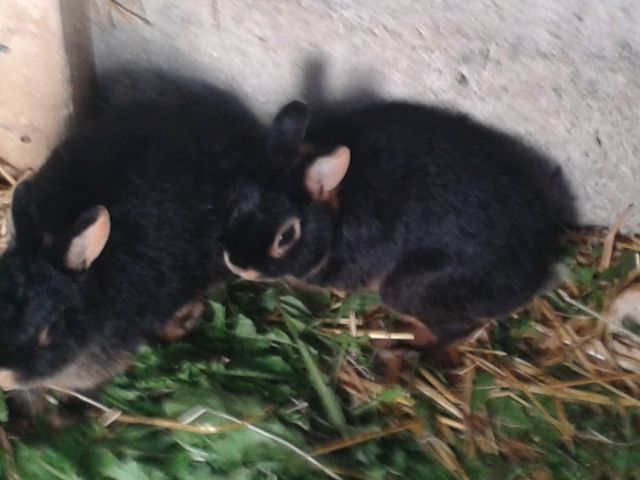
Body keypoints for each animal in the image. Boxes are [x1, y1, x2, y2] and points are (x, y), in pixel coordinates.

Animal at [221, 100, 577, 349]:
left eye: (286, 235)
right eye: (236, 202)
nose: (238, 265)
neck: (338, 211)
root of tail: (538, 272)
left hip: (409, 290)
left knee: (456, 330)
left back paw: (404, 347)